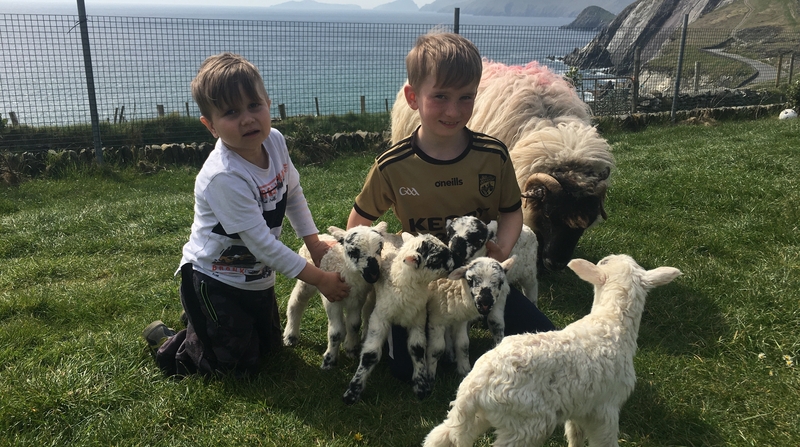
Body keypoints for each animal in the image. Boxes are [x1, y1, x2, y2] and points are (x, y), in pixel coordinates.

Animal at [282, 223, 389, 369]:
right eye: (353, 251)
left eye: (380, 249)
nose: (373, 274)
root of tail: (321, 236)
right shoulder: (332, 299)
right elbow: (336, 332)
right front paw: (329, 361)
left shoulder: (357, 300)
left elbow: (354, 324)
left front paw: (351, 349)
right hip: (307, 283)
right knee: (296, 302)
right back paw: (290, 336)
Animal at [343, 232, 454, 405]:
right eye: (435, 260)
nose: (455, 263)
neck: (403, 285)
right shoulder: (380, 318)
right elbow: (370, 355)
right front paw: (352, 392)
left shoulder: (418, 318)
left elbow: (417, 349)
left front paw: (421, 386)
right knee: (367, 312)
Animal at [422, 254, 681, 447]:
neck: (611, 323)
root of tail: (474, 387)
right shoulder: (605, 408)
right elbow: (604, 441)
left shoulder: (581, 406)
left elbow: (575, 435)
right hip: (525, 424)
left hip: (477, 416)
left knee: (442, 436)